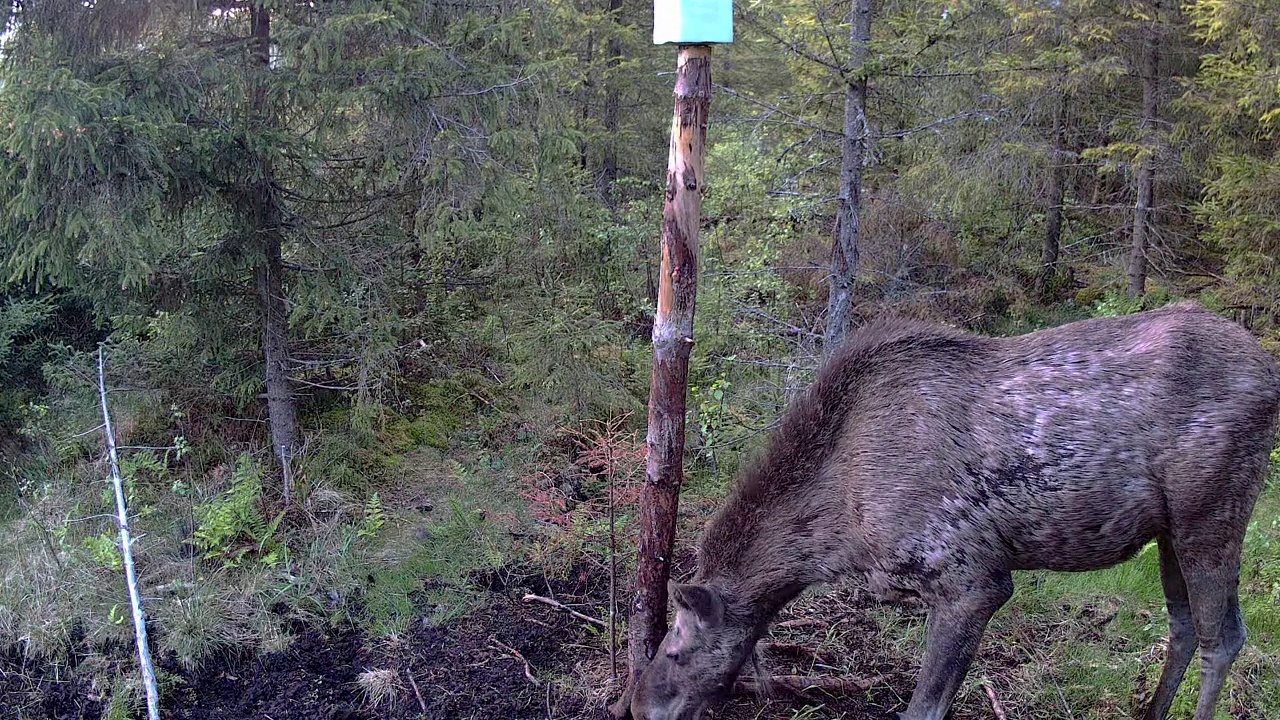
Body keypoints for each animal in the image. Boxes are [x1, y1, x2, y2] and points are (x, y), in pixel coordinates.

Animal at [627, 301, 1280, 717]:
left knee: (1225, 636)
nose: (638, 706)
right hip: (1169, 528)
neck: (837, 537)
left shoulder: (971, 578)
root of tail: (1271, 370)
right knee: (1185, 626)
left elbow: (923, 708)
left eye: (677, 650)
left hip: (1211, 511)